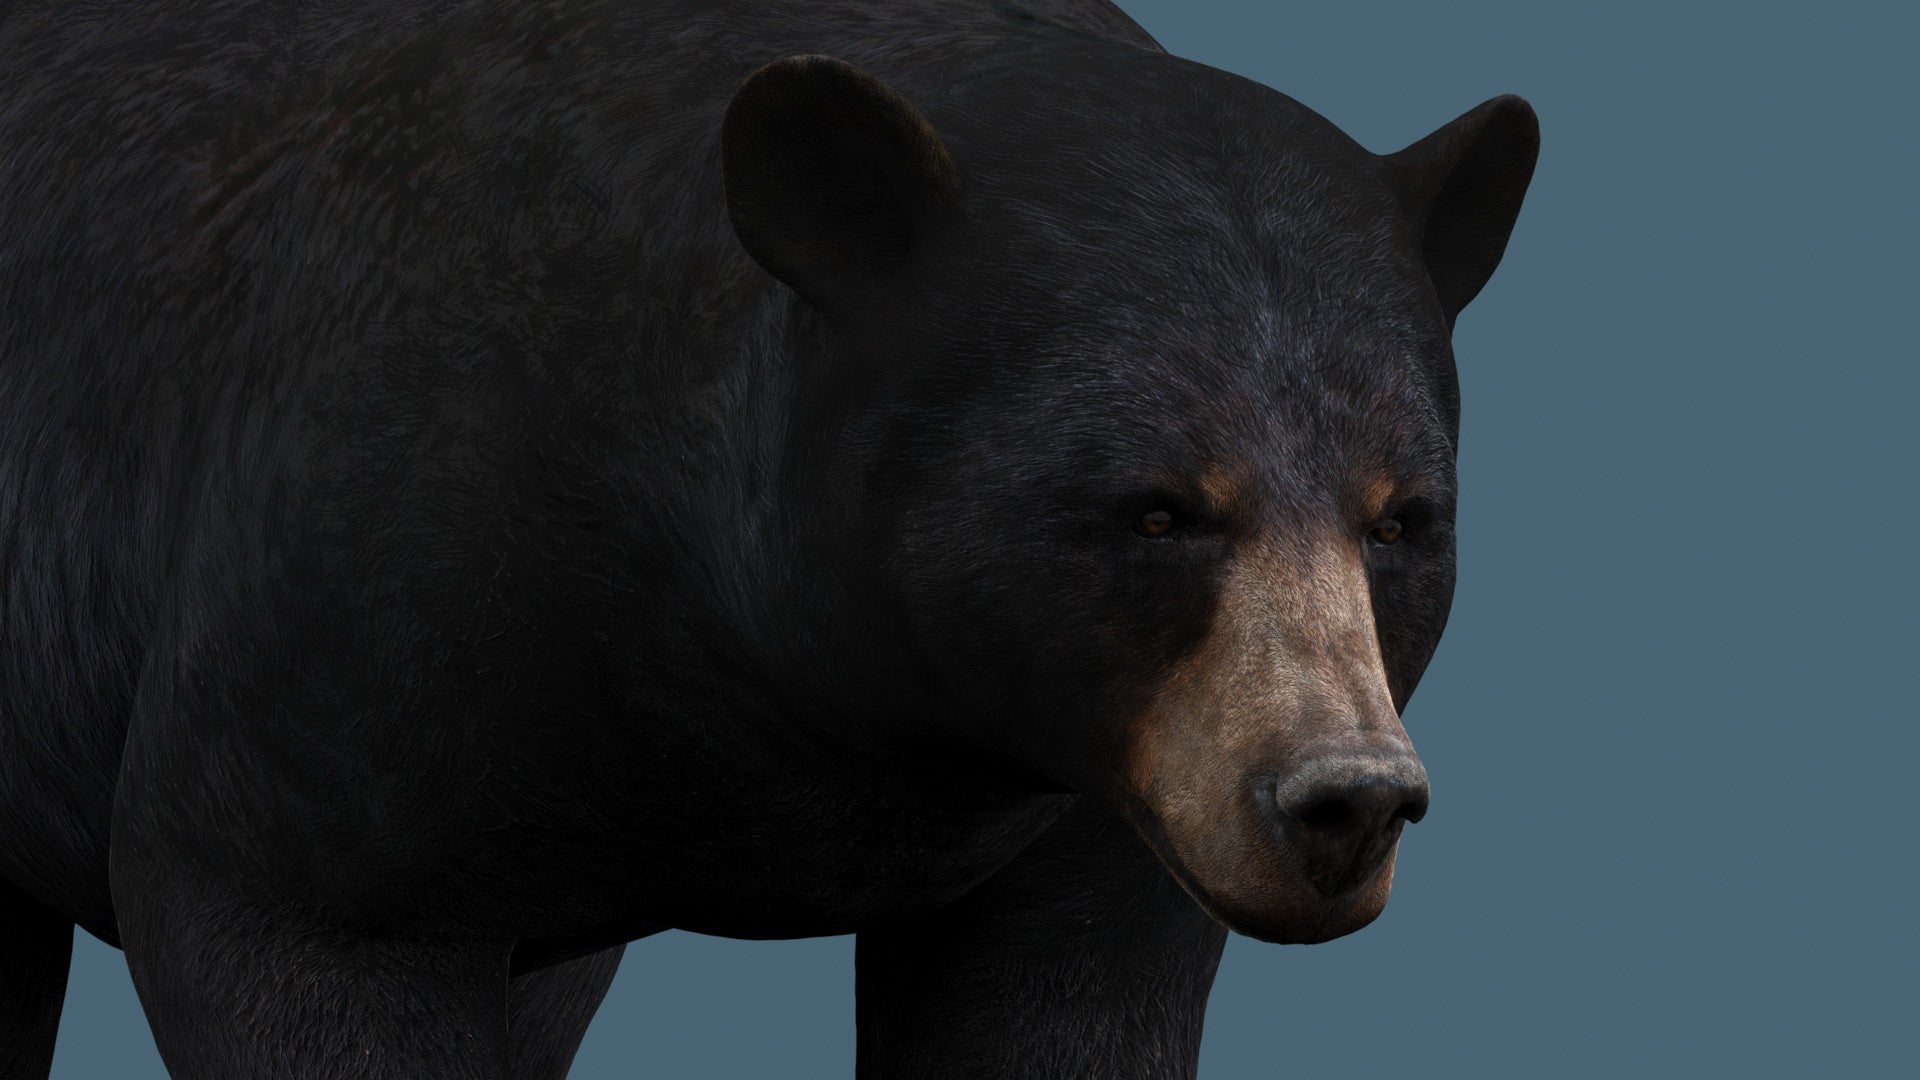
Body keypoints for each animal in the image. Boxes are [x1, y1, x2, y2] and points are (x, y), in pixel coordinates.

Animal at [0, 0, 1538, 1077]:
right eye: (1157, 508)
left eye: (1401, 520)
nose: (1344, 800)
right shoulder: (363, 571)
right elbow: (300, 907)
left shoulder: (1099, 793)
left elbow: (1064, 996)